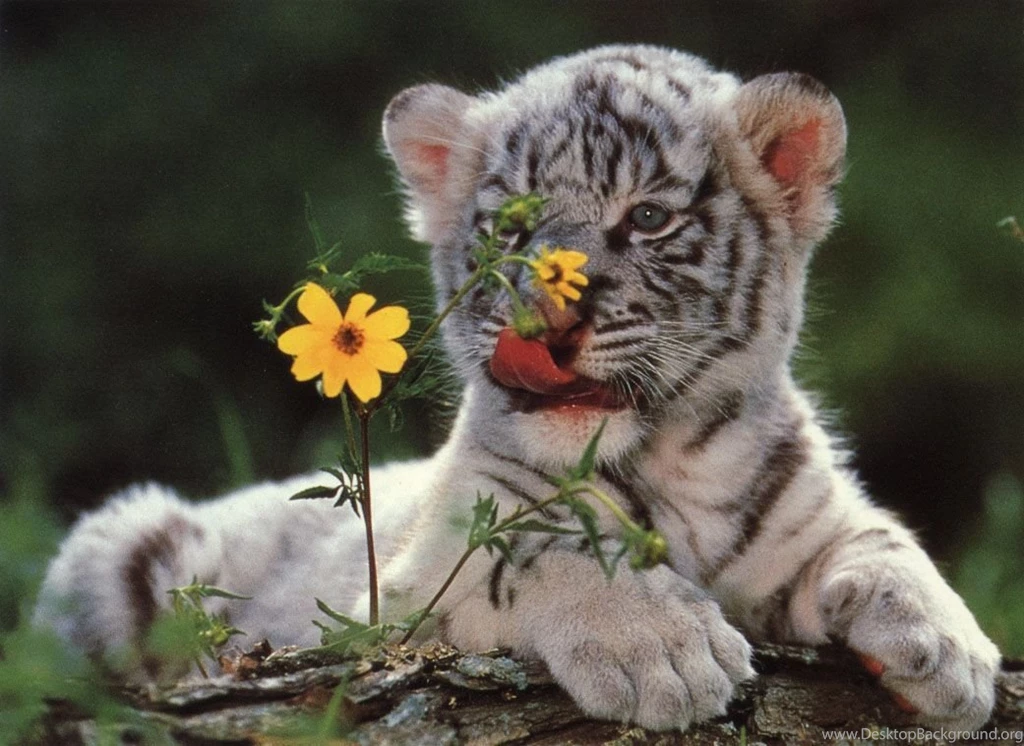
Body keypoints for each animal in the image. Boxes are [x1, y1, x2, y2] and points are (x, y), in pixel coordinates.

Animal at [35, 45, 999, 732]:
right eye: (510, 229)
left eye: (648, 218)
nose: (547, 328)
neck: (673, 465)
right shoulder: (413, 586)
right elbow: (540, 553)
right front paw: (667, 651)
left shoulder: (808, 518)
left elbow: (883, 541)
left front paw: (951, 652)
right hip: (117, 542)